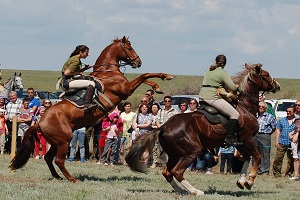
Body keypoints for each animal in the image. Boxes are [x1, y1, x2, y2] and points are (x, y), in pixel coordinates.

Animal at [9, 36, 173, 181]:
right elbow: (144, 75)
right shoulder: (126, 89)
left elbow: (145, 78)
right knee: (59, 160)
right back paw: (72, 179)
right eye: (129, 47)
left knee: (49, 158)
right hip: (64, 140)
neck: (107, 71)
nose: (138, 62)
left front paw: (159, 84)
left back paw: (57, 177)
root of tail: (39, 122)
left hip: (56, 142)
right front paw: (164, 79)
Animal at [125, 63, 280, 195]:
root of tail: (163, 127)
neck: (245, 106)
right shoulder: (247, 138)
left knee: (167, 172)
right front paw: (250, 181)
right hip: (191, 151)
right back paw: (196, 191)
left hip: (175, 154)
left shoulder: (240, 142)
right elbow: (257, 156)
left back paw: (182, 191)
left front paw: (241, 181)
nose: (277, 85)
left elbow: (247, 158)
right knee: (177, 172)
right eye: (266, 74)